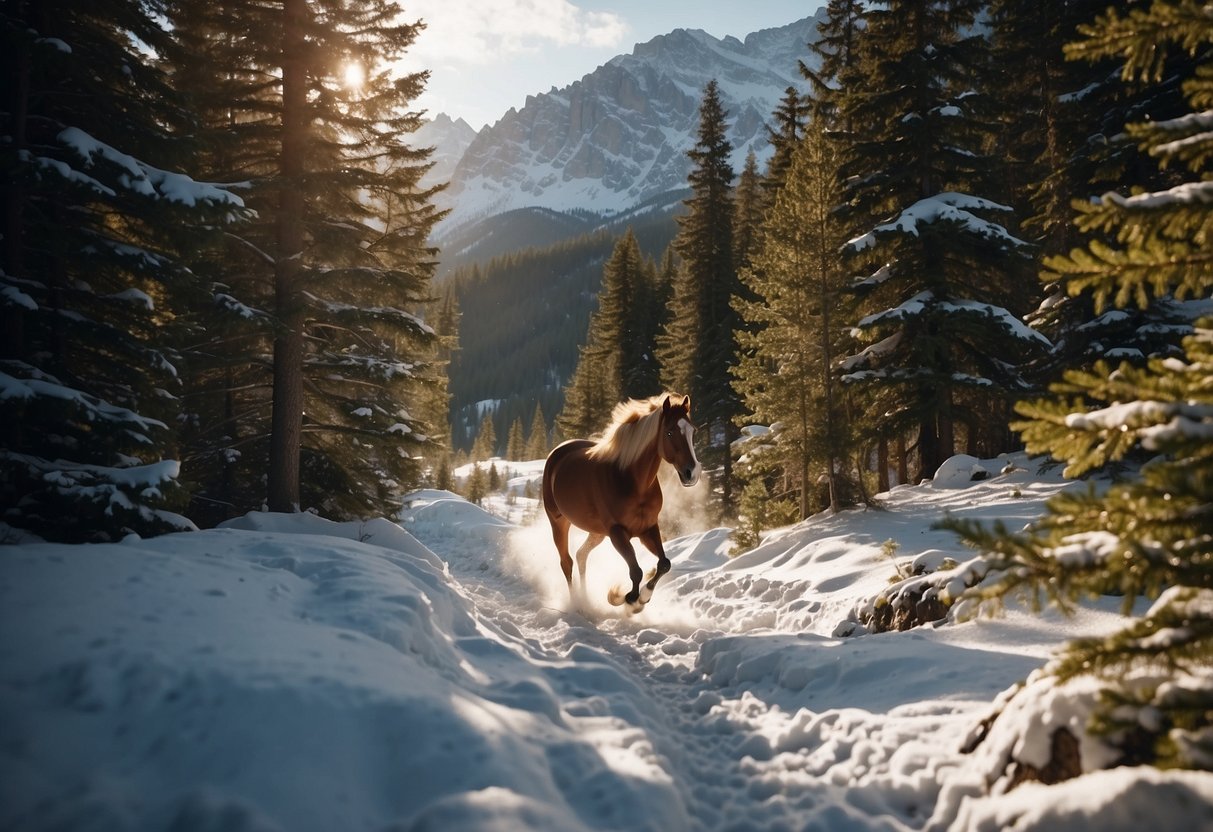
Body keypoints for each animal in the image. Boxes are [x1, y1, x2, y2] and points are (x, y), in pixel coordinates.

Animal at [543, 395, 703, 616]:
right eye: (669, 432)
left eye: (692, 431)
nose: (691, 473)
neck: (631, 481)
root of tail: (557, 453)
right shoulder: (617, 532)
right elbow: (636, 571)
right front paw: (626, 598)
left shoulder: (648, 528)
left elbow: (664, 564)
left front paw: (643, 596)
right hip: (559, 522)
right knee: (567, 562)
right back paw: (577, 603)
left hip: (597, 532)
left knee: (581, 555)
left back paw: (585, 596)